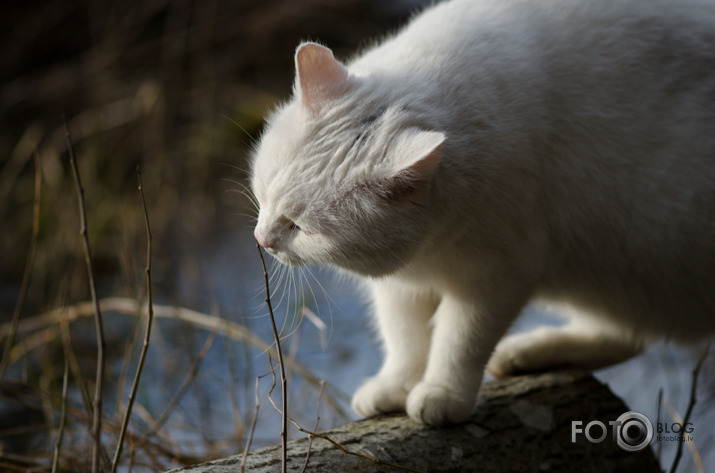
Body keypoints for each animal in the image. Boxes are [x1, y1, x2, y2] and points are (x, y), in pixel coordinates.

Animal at [250, 0, 715, 424]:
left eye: (303, 228)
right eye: (266, 189)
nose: (262, 239)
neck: (431, 249)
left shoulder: (493, 277)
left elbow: (460, 341)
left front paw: (442, 393)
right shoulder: (404, 285)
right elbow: (404, 337)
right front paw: (395, 387)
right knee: (629, 333)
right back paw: (528, 352)